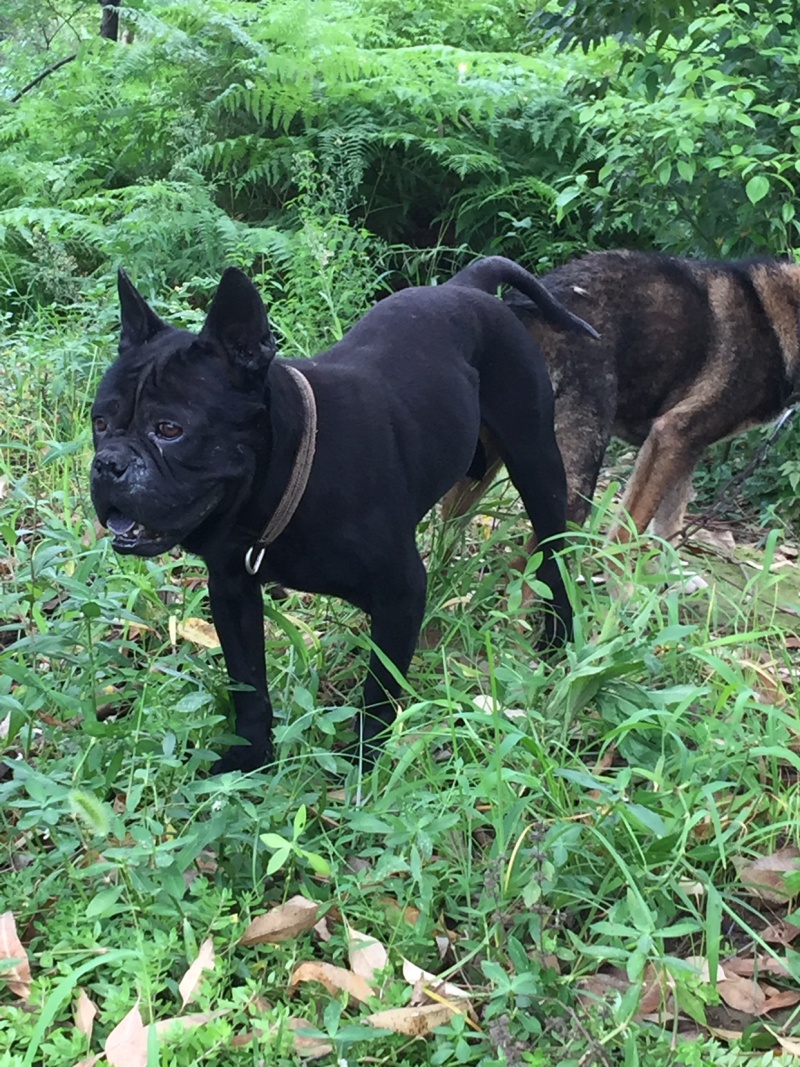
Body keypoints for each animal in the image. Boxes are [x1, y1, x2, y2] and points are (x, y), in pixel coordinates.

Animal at [90, 260, 597, 776]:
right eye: (99, 423)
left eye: (170, 430)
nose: (108, 463)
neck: (292, 473)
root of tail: (466, 285)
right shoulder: (232, 591)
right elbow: (248, 681)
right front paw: (250, 755)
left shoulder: (399, 594)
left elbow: (378, 690)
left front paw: (363, 761)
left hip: (537, 464)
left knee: (555, 555)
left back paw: (558, 636)